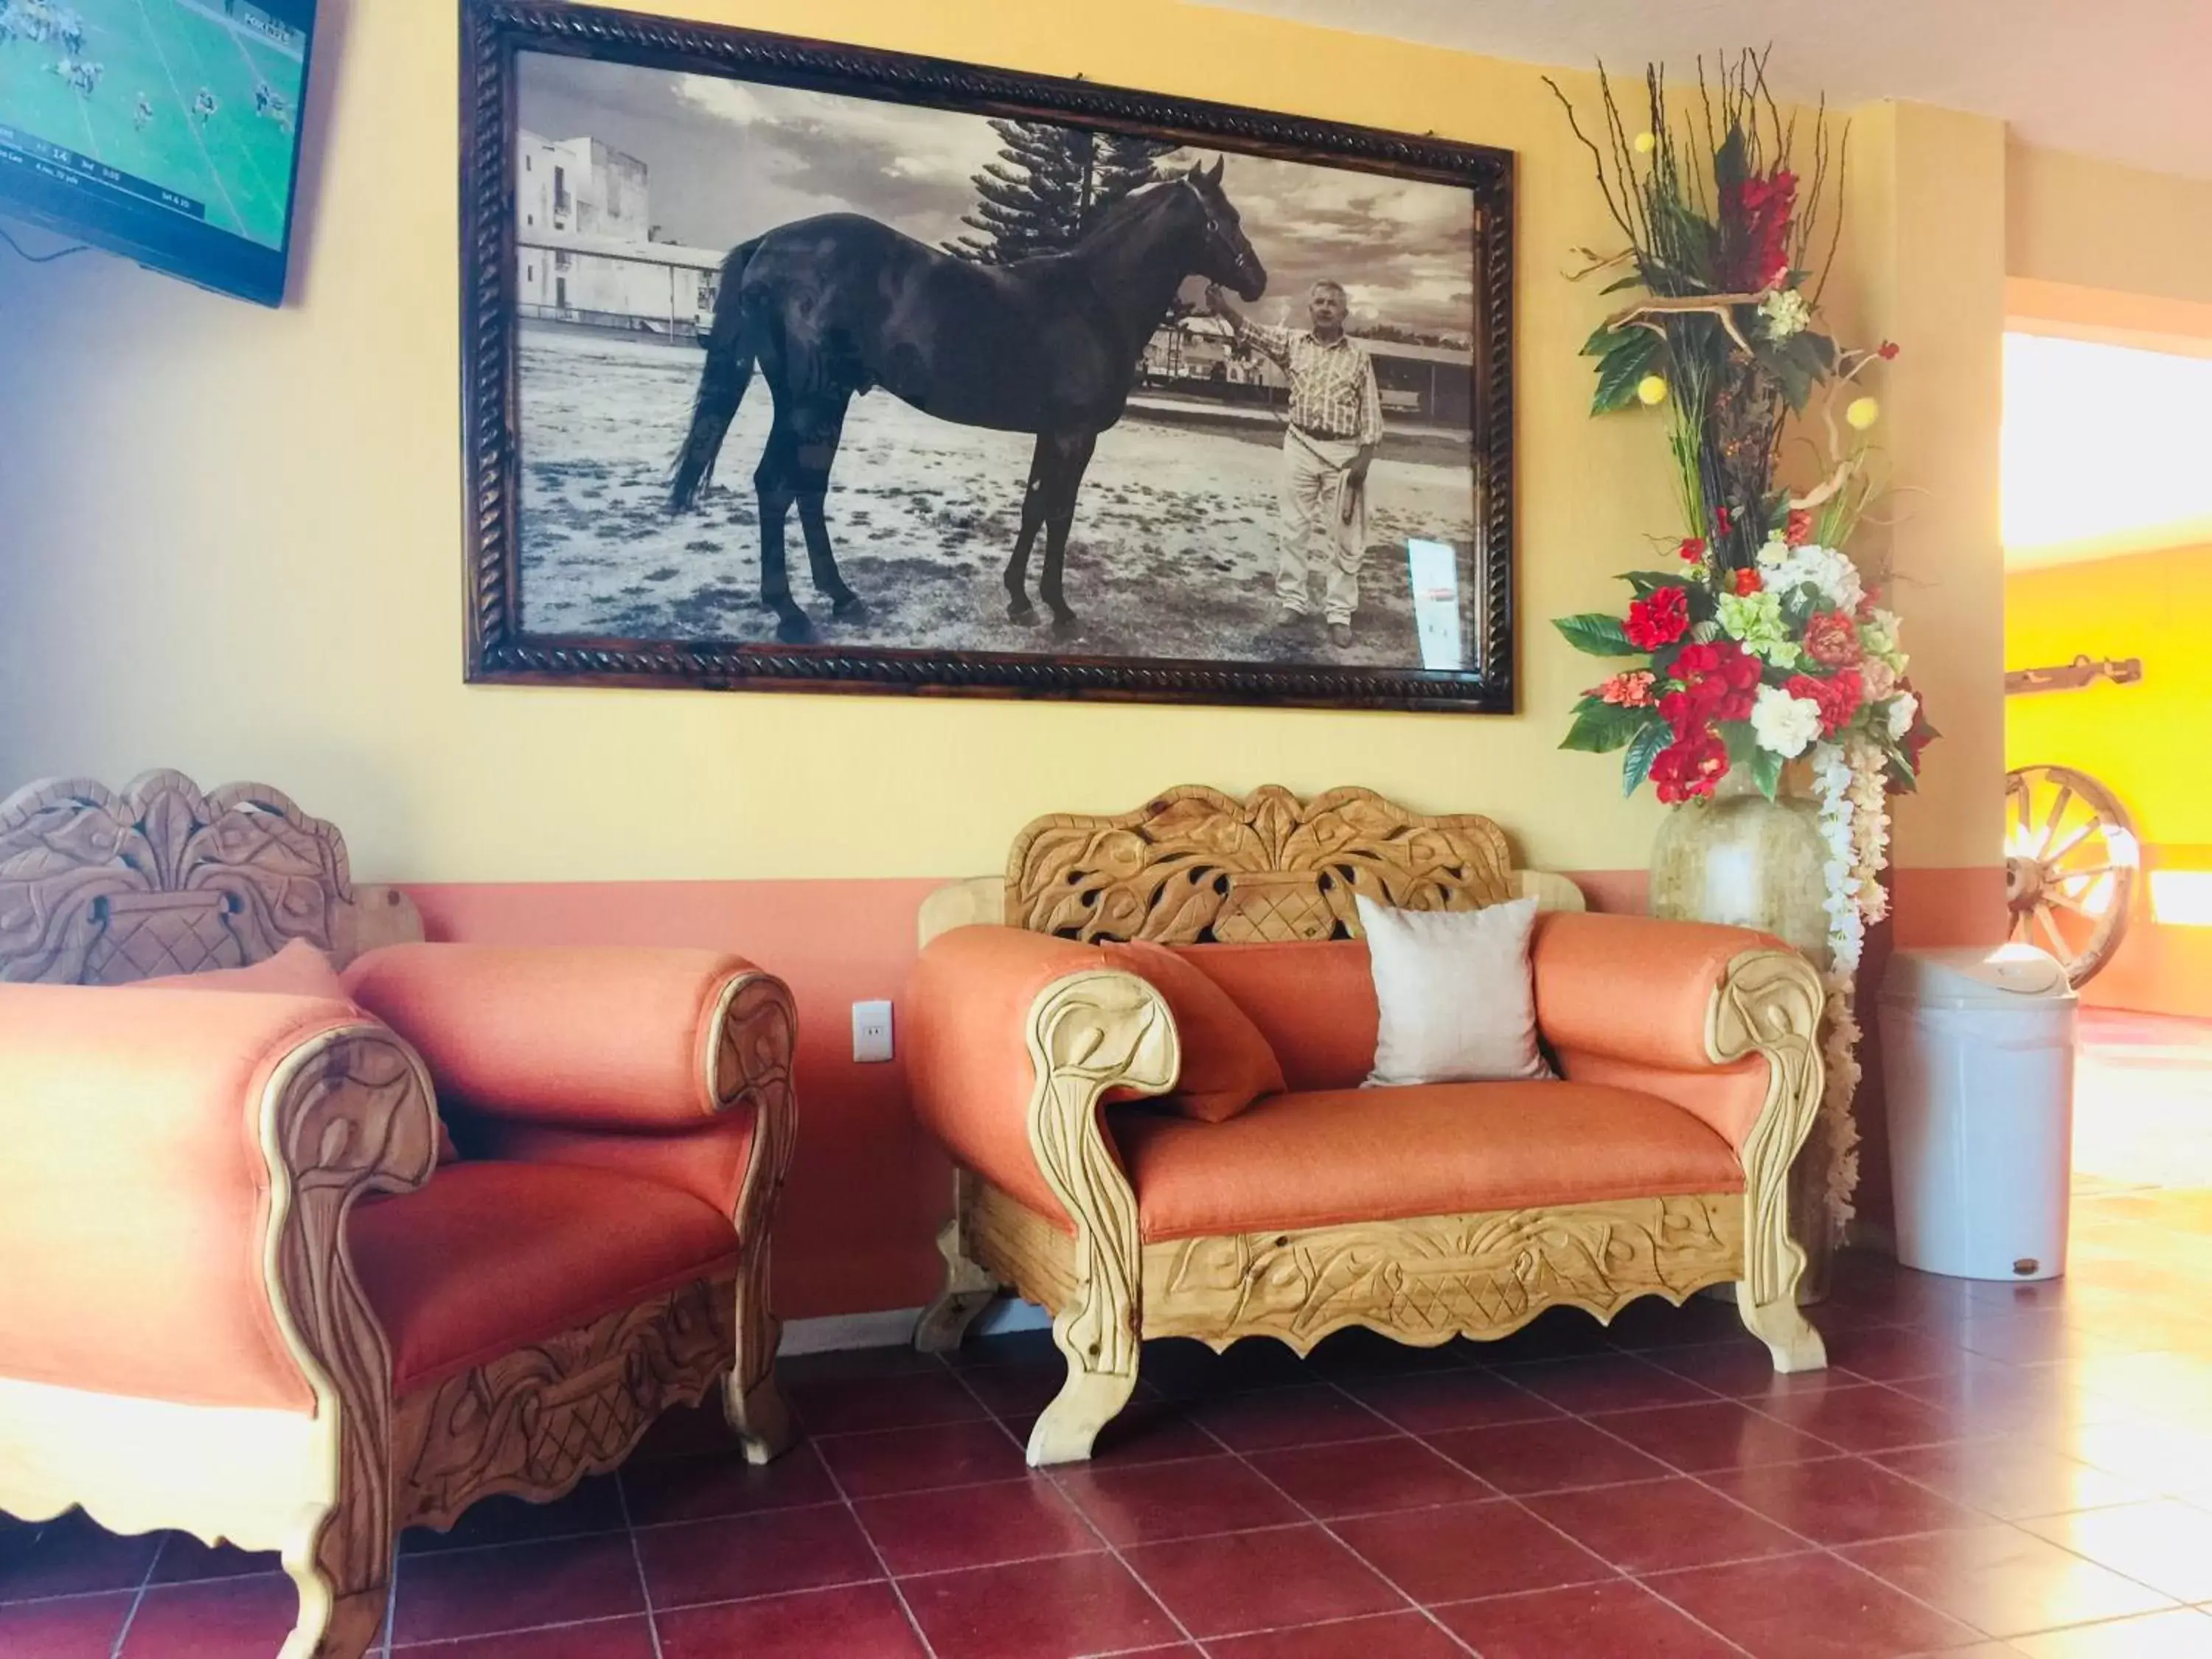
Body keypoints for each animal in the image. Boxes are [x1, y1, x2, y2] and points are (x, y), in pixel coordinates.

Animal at [664, 159, 1274, 641]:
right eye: (1226, 219)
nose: (1259, 282)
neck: (1096, 298)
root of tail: (767, 245)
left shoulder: (1050, 433)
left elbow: (1033, 508)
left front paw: (1020, 600)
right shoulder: (1075, 436)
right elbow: (1060, 513)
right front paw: (1059, 608)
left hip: (817, 404)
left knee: (804, 490)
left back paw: (841, 597)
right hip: (812, 402)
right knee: (777, 486)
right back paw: (791, 612)